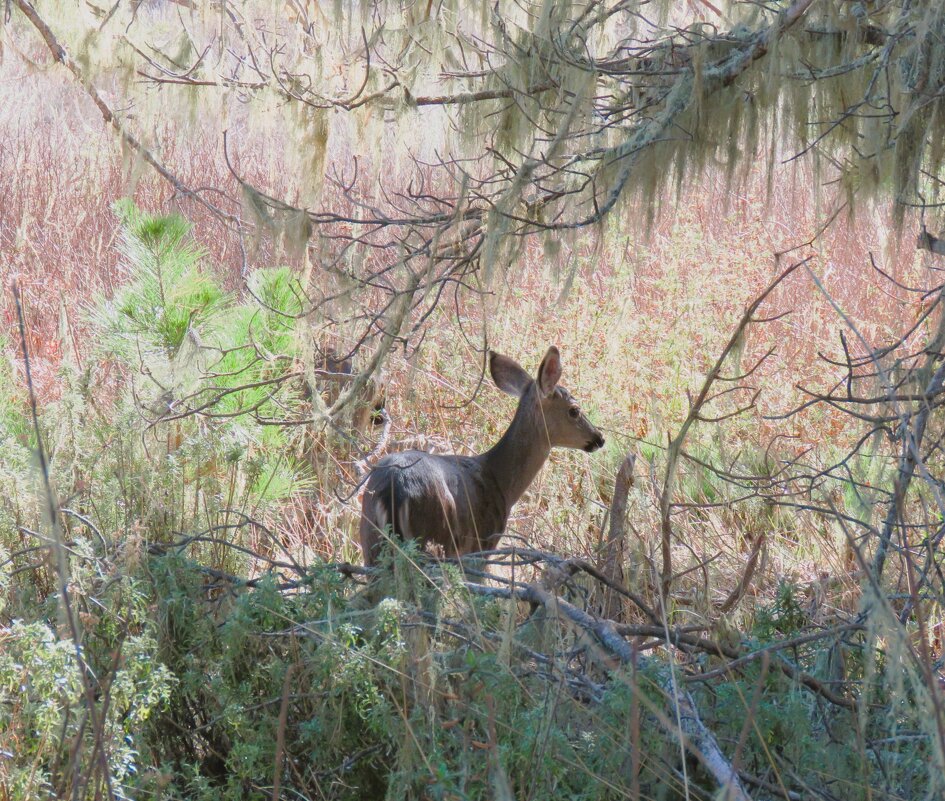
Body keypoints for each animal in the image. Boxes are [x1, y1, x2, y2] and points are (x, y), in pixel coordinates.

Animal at [358, 346, 608, 564]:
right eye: (574, 410)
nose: (599, 438)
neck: (501, 483)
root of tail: (394, 489)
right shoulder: (483, 542)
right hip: (435, 537)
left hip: (370, 542)